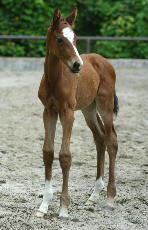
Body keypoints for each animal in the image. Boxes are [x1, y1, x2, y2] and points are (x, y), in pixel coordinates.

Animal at [36, 8, 118, 220]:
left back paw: (110, 198)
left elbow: (65, 156)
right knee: (100, 139)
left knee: (111, 140)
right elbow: (48, 152)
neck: (55, 79)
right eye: (59, 39)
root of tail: (104, 61)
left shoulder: (68, 113)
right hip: (89, 109)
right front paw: (43, 206)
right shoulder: (48, 111)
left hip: (104, 105)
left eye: (75, 38)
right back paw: (93, 195)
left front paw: (63, 208)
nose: (77, 65)